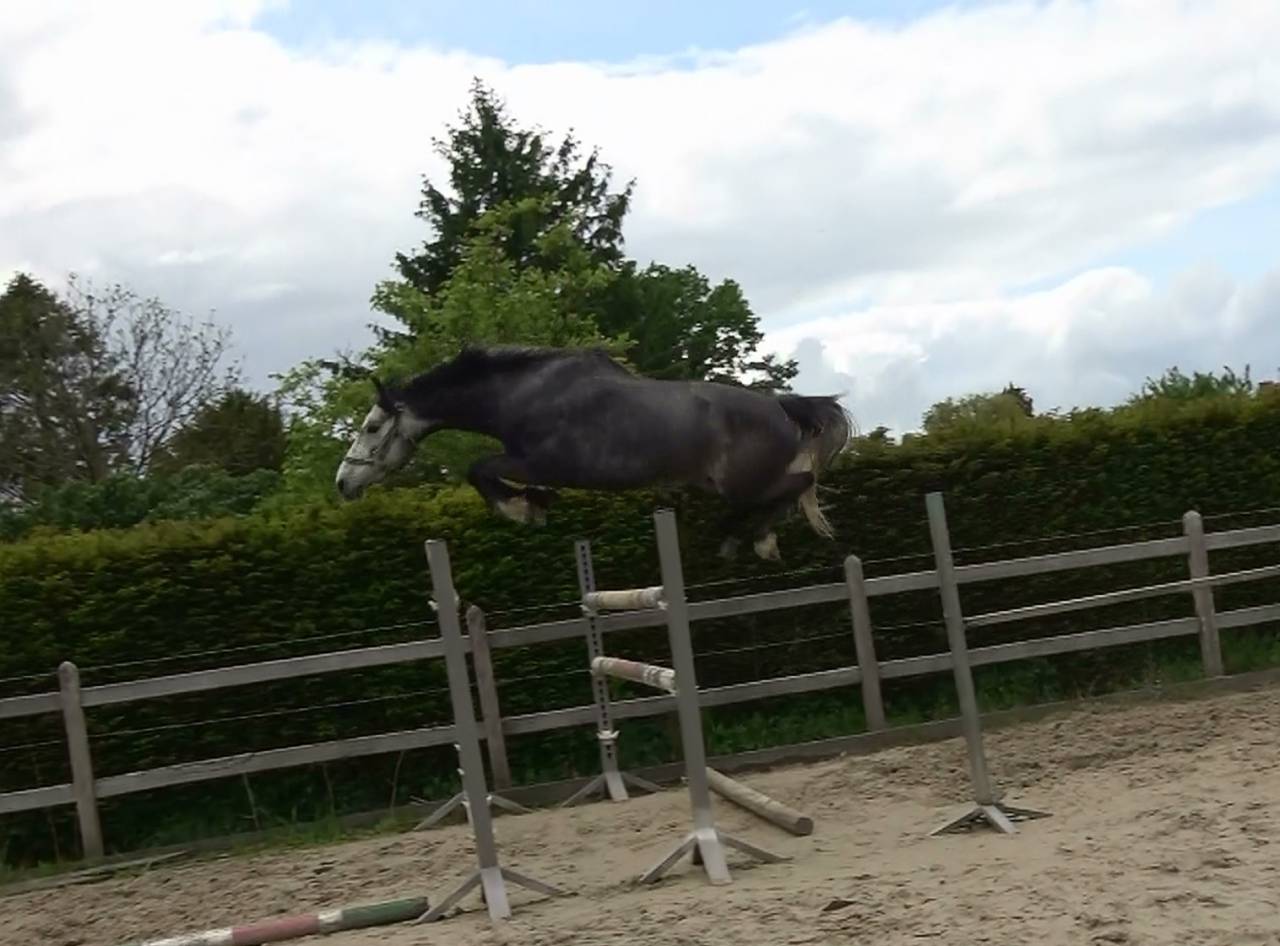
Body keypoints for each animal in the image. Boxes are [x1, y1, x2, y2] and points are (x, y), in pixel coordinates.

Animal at [334, 345, 852, 560]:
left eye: (372, 427)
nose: (343, 482)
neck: (520, 394)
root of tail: (780, 406)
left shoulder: (540, 460)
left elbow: (477, 469)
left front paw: (522, 510)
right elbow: (494, 475)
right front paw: (535, 503)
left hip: (742, 482)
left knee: (796, 486)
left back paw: (755, 541)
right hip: (726, 482)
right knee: (783, 493)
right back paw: (743, 540)